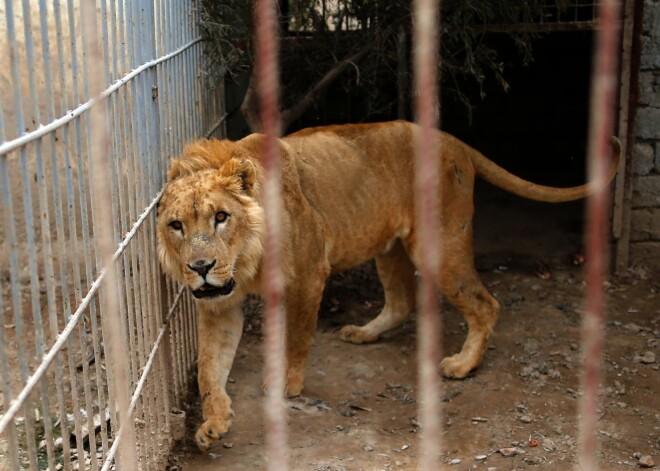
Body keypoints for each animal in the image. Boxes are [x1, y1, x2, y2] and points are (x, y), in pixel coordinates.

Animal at [157, 121, 620, 450]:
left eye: (221, 217)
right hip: (390, 247)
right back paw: (364, 333)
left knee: (485, 303)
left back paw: (462, 365)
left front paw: (286, 383)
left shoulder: (309, 274)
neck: (244, 261)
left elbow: (298, 336)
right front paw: (213, 423)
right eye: (177, 225)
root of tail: (454, 140)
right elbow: (209, 368)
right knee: (401, 302)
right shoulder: (220, 304)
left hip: (437, 246)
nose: (200, 267)